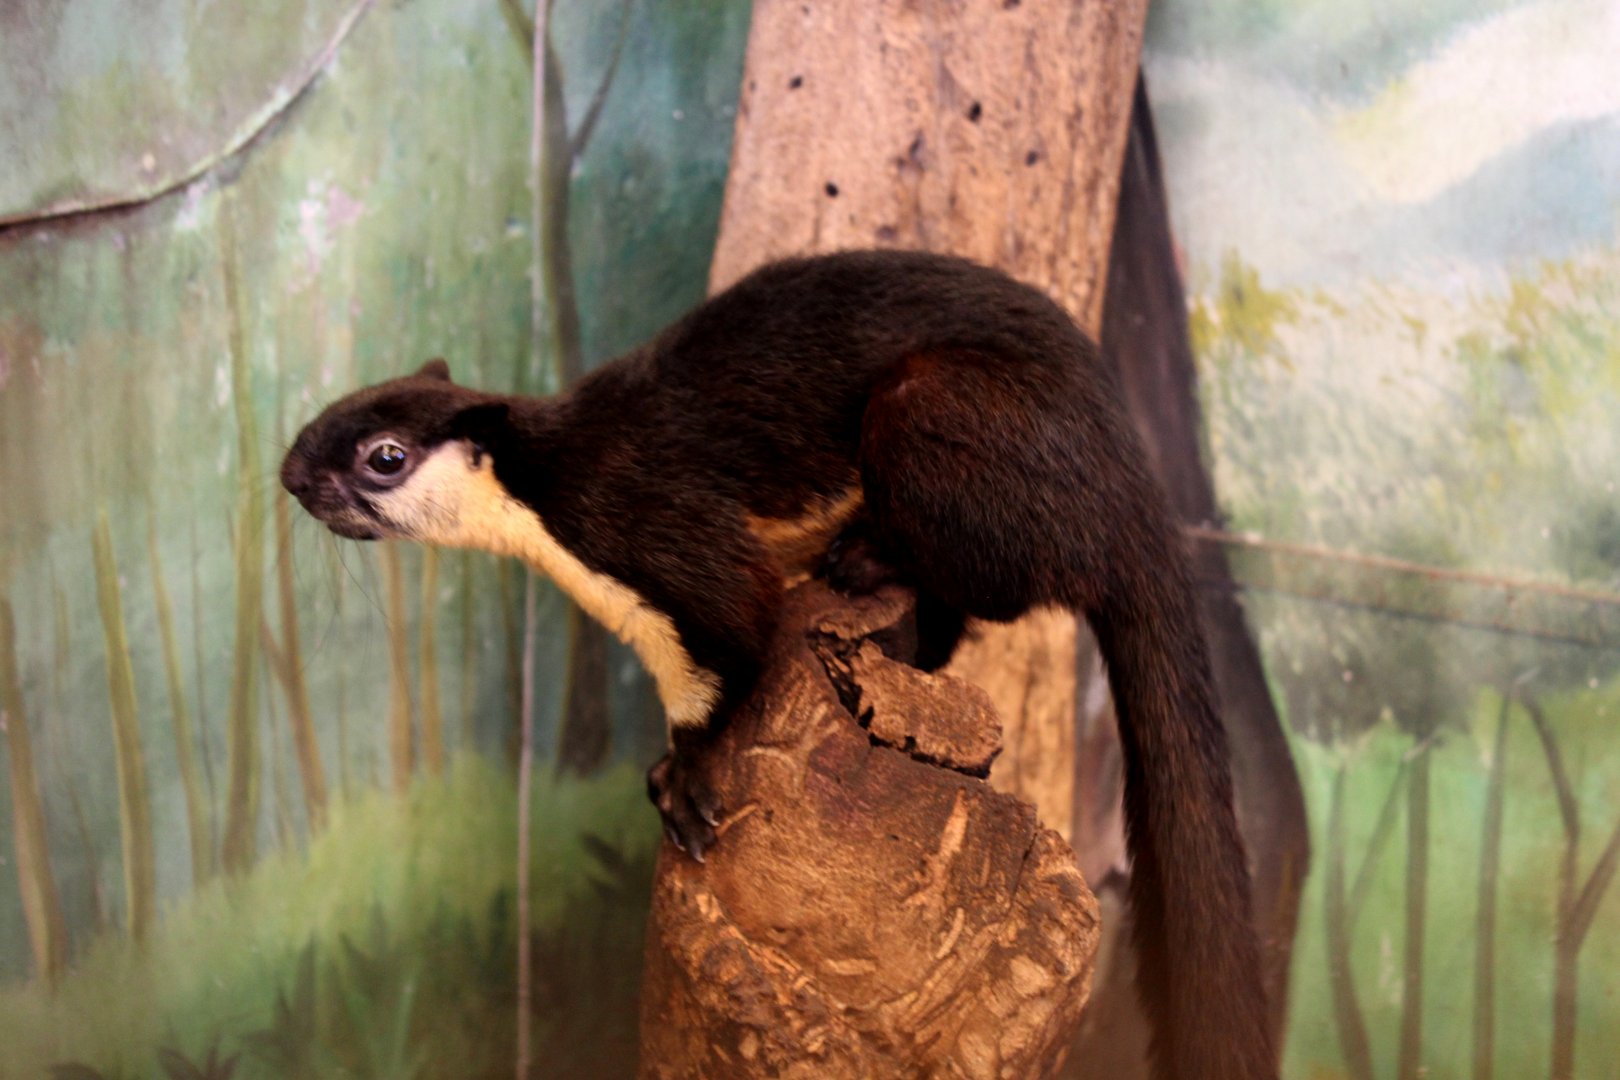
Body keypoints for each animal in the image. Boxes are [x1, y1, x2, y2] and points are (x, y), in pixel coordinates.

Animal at [281, 249, 1274, 1080]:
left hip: (919, 406)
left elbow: (730, 642)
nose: (290, 476)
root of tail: (1134, 482)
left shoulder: (661, 536)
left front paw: (680, 785)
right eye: (320, 418)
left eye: (382, 456)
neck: (553, 509)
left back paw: (864, 554)